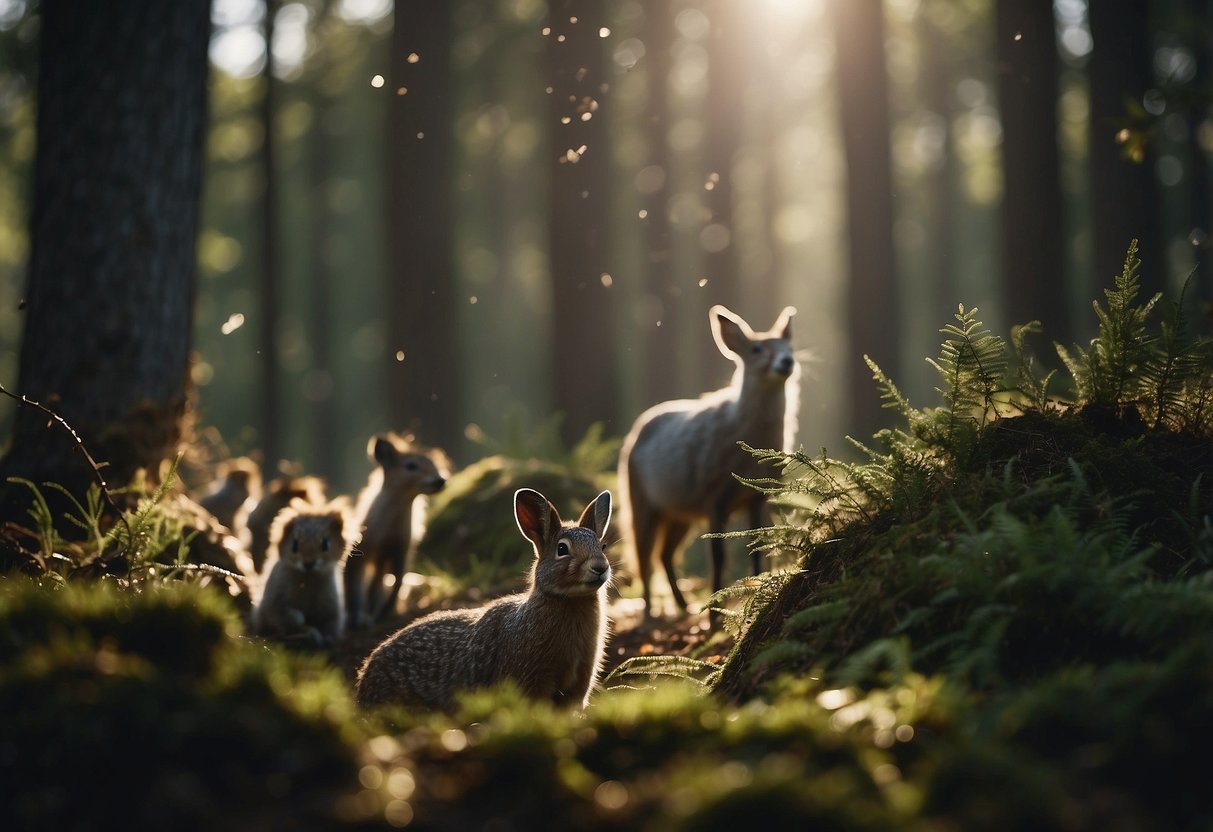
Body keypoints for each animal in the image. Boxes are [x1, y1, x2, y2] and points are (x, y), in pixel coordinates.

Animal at [621, 303, 800, 616]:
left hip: (678, 510)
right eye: (756, 348)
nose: (787, 361)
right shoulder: (713, 493)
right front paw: (715, 617)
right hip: (640, 498)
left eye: (788, 345)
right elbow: (718, 558)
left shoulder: (757, 497)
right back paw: (649, 612)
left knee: (664, 554)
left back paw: (684, 606)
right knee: (642, 556)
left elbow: (758, 550)